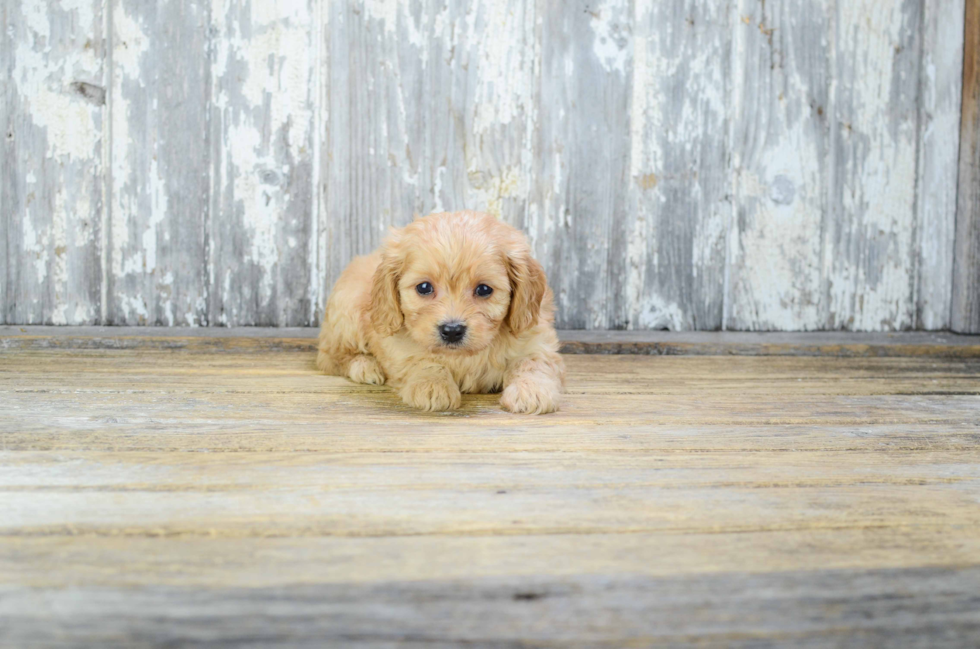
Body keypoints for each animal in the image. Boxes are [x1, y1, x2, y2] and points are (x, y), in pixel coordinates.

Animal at [320, 210, 568, 412]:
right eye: (424, 287)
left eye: (484, 289)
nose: (452, 330)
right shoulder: (401, 346)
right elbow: (422, 360)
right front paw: (432, 386)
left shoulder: (536, 338)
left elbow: (533, 362)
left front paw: (532, 391)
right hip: (348, 313)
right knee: (331, 356)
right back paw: (365, 367)